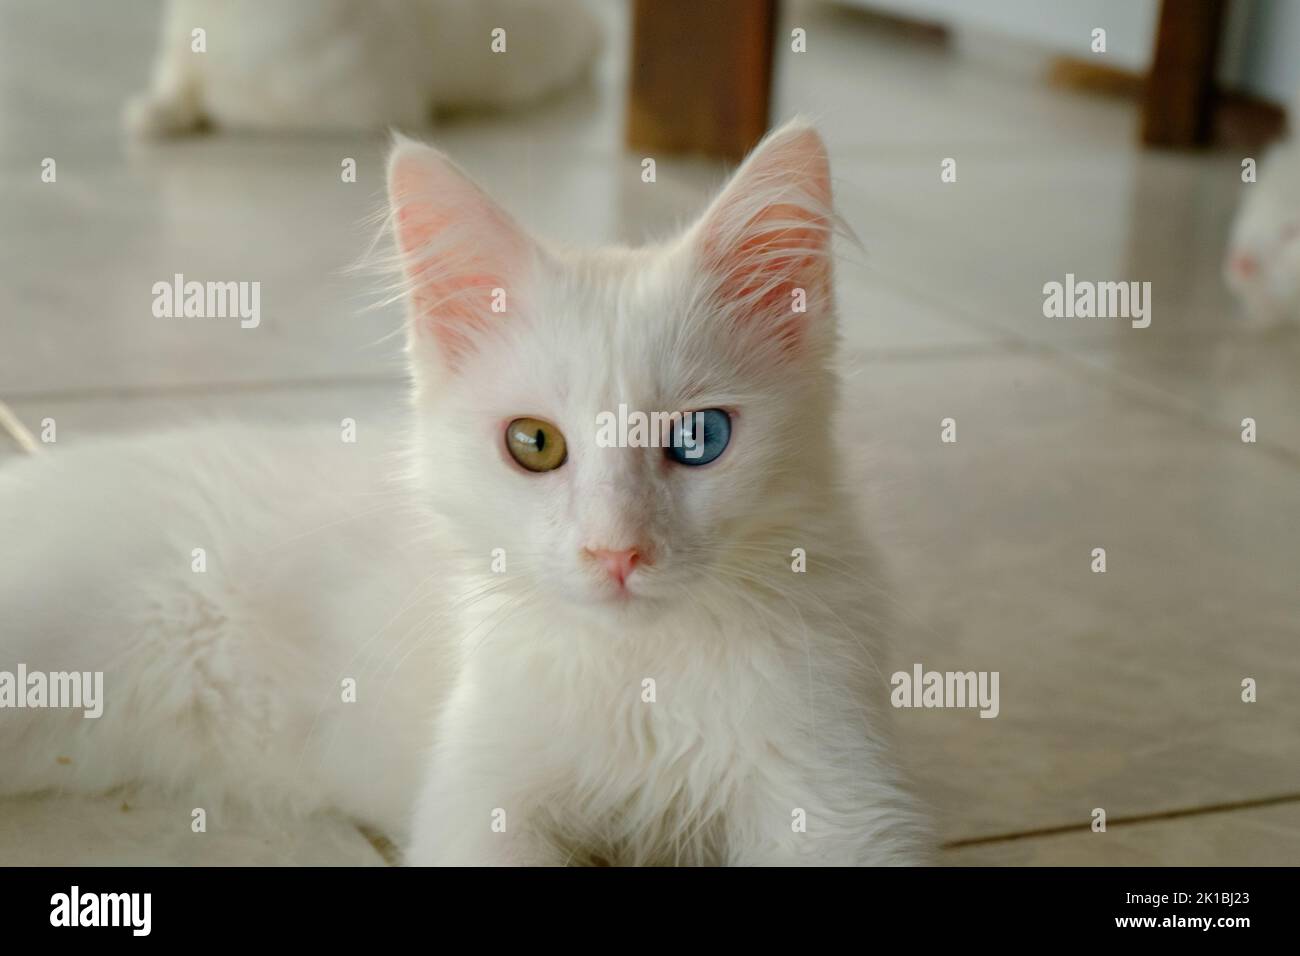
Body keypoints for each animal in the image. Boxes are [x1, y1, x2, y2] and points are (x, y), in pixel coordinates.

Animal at [5, 121, 930, 868]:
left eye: (698, 439)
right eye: (535, 444)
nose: (616, 552)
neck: (637, 676)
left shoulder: (833, 792)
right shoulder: (481, 800)